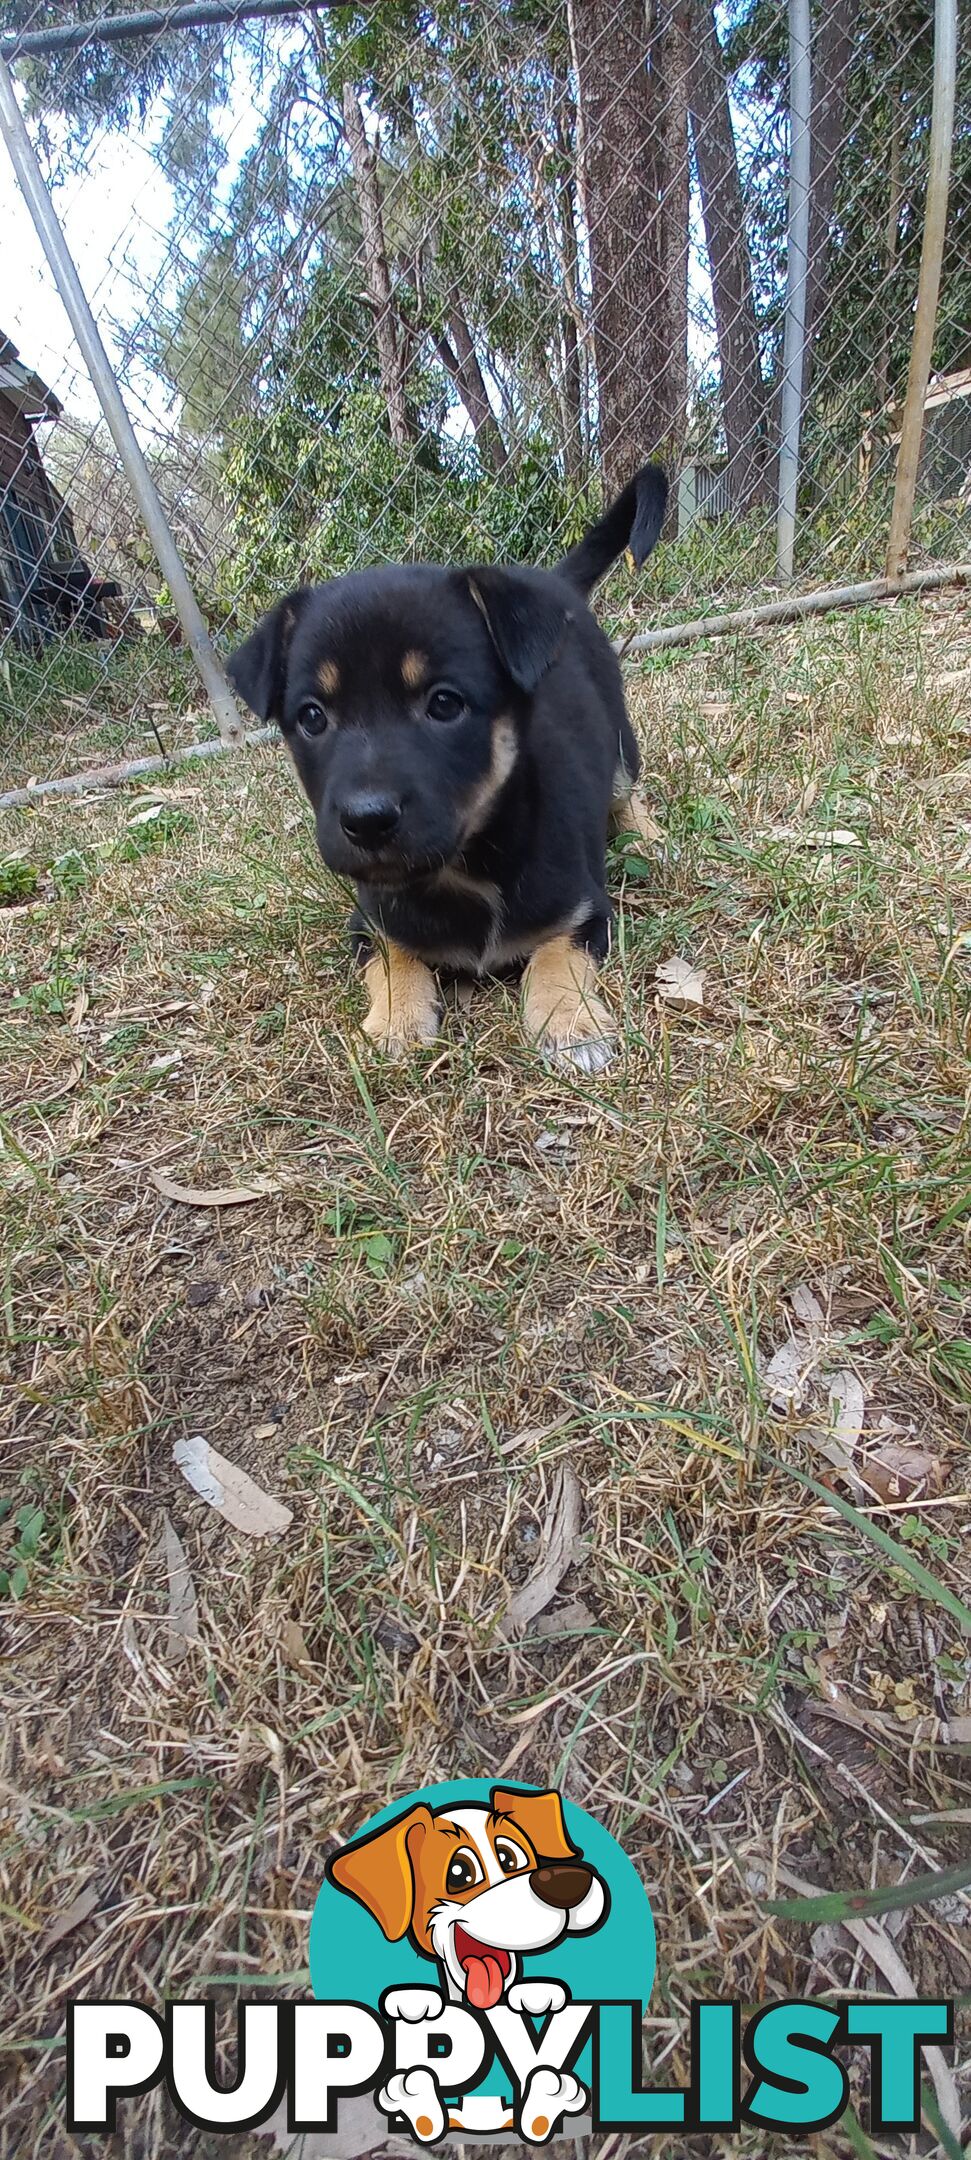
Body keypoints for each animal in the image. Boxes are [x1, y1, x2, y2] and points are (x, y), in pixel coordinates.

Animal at [227, 473, 668, 1080]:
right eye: (312, 717)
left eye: (444, 704)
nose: (366, 822)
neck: (464, 869)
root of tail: (554, 583)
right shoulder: (368, 921)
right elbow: (394, 958)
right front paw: (397, 1021)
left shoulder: (586, 910)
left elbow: (556, 956)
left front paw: (569, 1022)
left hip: (620, 736)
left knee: (627, 791)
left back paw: (646, 836)